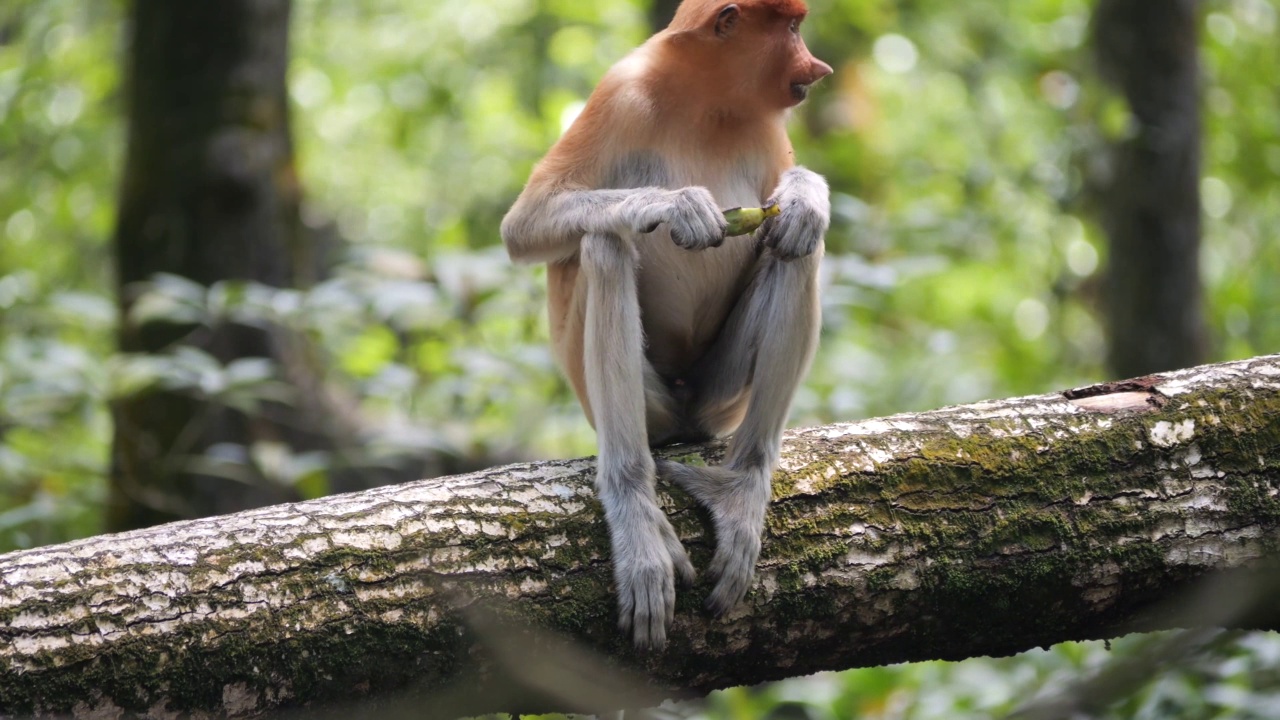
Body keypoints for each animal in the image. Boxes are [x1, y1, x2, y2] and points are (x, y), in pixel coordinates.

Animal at [499, 0, 829, 645]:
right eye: (793, 28)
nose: (818, 68)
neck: (708, 102)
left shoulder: (768, 127)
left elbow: (789, 210)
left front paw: (806, 197)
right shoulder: (620, 93)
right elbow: (525, 223)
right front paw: (676, 205)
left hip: (718, 395)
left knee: (795, 246)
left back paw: (740, 489)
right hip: (636, 401)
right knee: (604, 241)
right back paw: (637, 516)